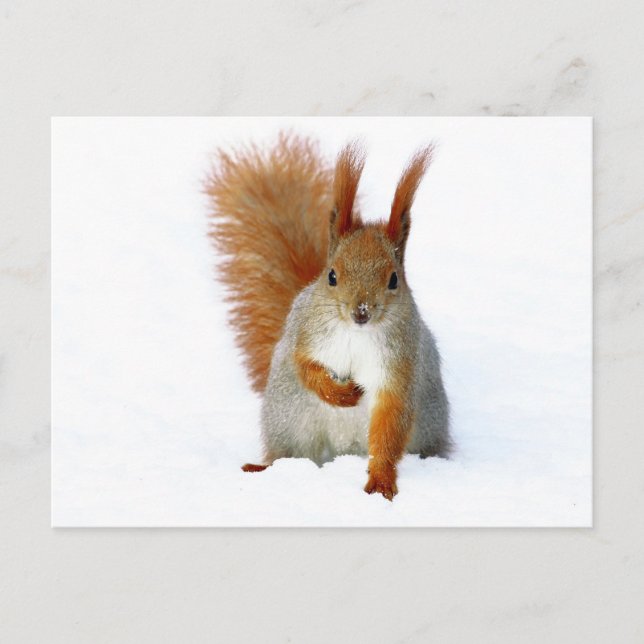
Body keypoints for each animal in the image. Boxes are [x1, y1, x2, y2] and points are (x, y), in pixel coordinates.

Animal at [206, 133, 451, 500]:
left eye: (394, 279)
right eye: (332, 275)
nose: (360, 312)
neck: (356, 333)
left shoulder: (401, 363)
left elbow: (390, 421)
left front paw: (381, 479)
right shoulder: (304, 332)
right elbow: (305, 367)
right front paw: (341, 394)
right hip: (290, 420)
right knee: (286, 453)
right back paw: (262, 468)